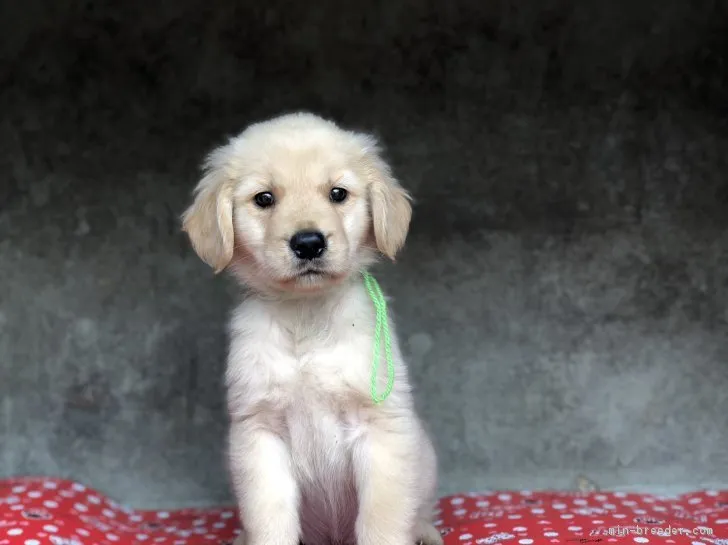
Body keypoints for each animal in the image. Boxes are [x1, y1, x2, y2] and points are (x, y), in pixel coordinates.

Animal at [182, 111, 444, 545]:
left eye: (338, 194)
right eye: (264, 199)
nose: (308, 243)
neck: (307, 316)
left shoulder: (380, 428)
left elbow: (383, 519)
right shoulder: (260, 432)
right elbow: (269, 519)